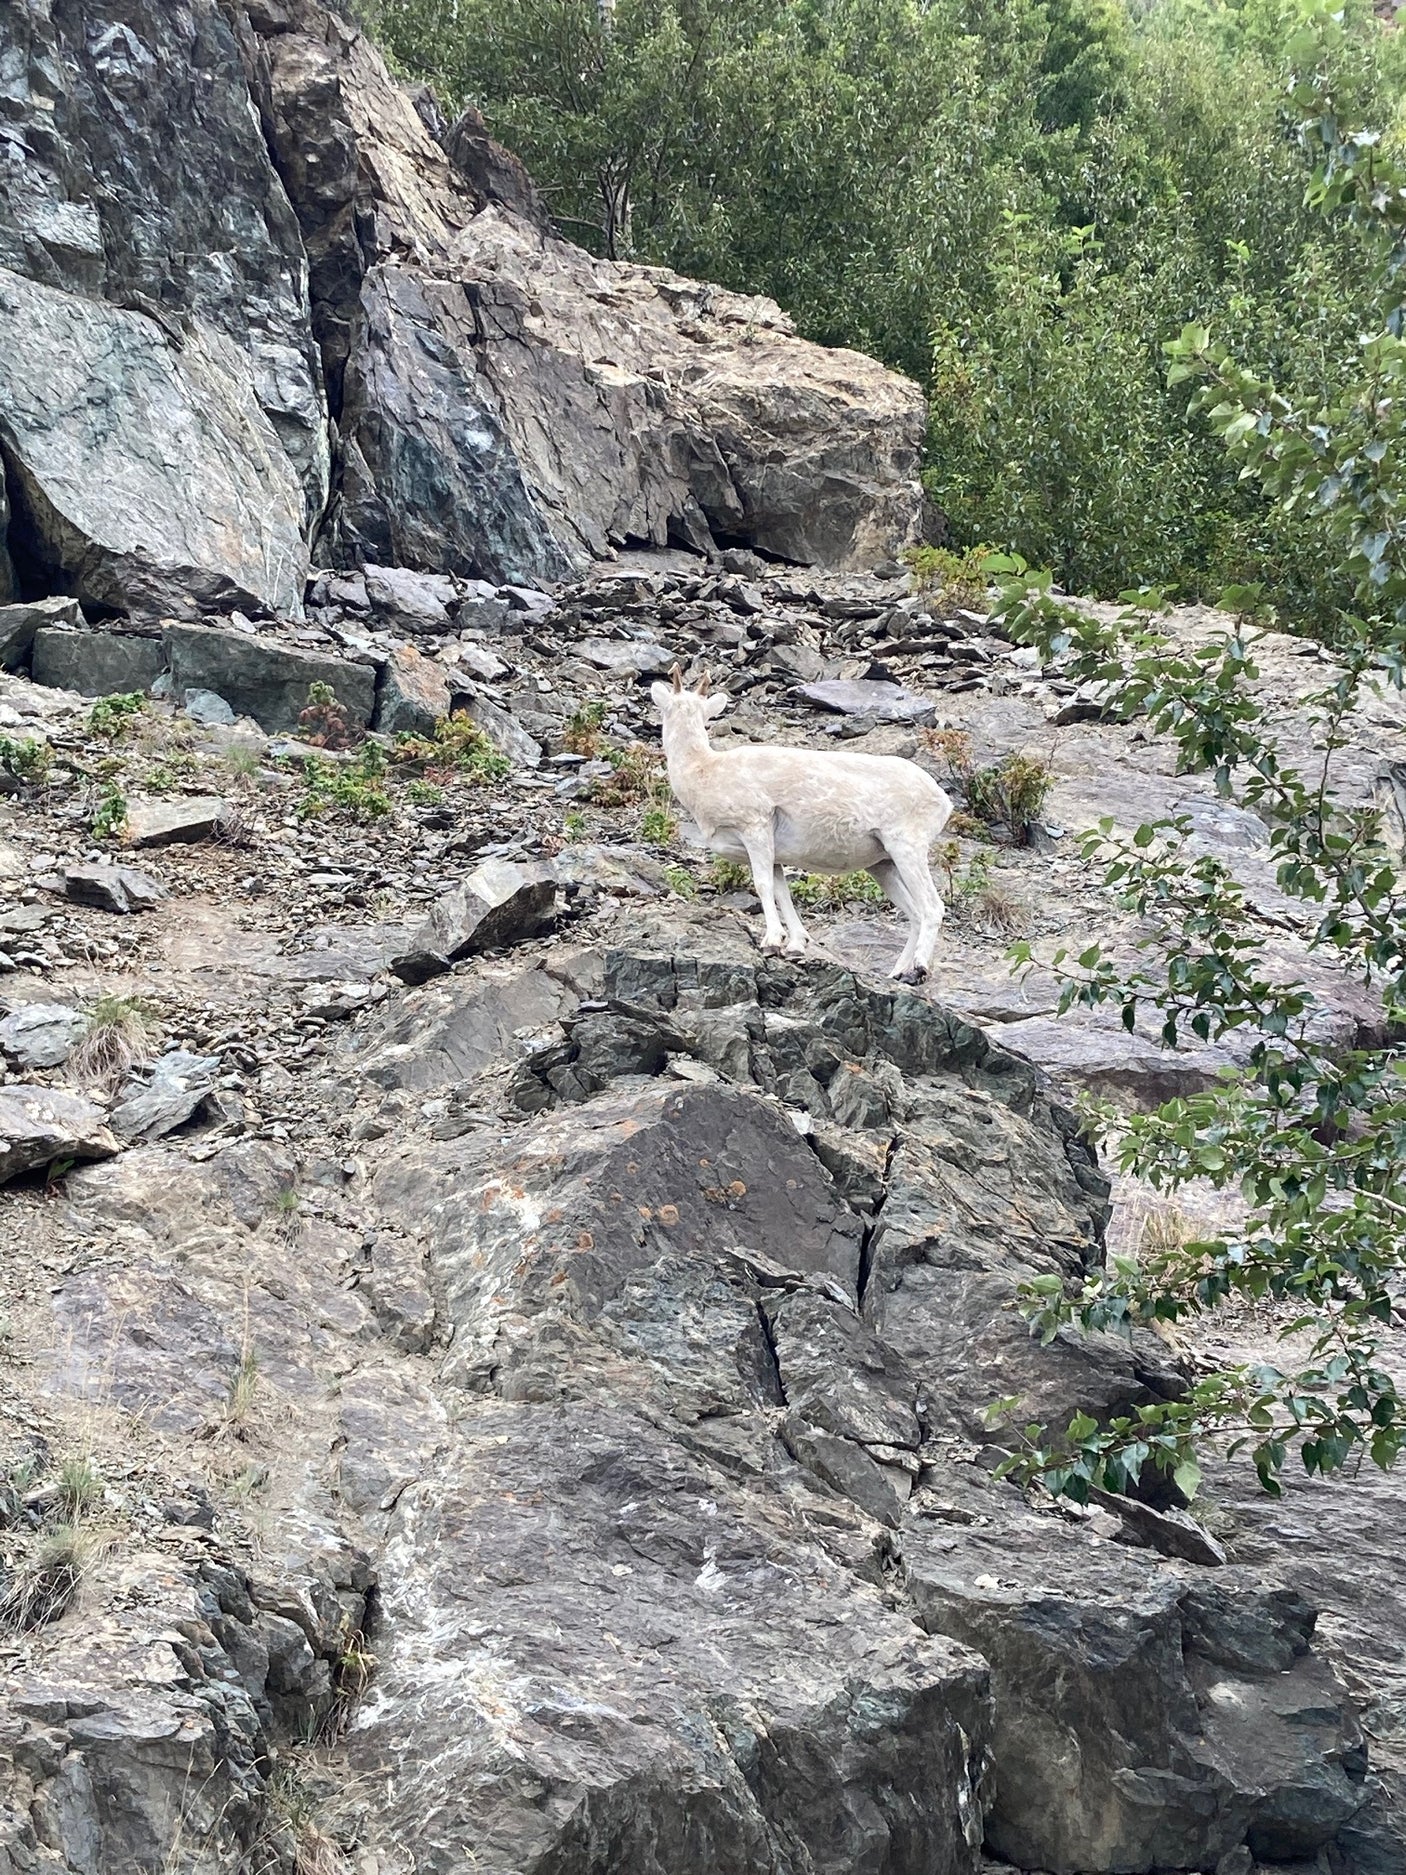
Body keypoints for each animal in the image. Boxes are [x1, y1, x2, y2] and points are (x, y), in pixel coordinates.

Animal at [651, 667, 953, 981]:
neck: (705, 771)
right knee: (914, 913)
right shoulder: (773, 854)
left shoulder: (755, 829)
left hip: (907, 849)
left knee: (932, 907)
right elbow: (781, 891)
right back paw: (897, 973)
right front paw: (796, 946)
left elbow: (762, 886)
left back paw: (919, 968)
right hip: (883, 865)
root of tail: (942, 800)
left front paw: (772, 942)